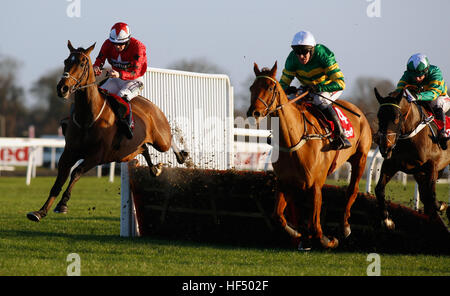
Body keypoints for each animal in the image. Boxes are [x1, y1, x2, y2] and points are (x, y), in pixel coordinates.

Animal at [25, 41, 187, 222]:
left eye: (82, 63)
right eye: (66, 61)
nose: (62, 88)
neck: (87, 118)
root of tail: (151, 105)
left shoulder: (97, 155)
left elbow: (76, 172)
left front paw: (63, 204)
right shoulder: (69, 152)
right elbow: (59, 179)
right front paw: (40, 211)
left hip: (160, 140)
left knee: (170, 139)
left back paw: (182, 155)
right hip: (127, 153)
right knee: (144, 148)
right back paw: (155, 169)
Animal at [248, 63, 370, 249]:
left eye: (269, 87)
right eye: (251, 88)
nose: (253, 112)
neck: (295, 140)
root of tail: (359, 112)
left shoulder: (315, 185)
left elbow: (316, 227)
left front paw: (328, 239)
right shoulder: (285, 182)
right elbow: (278, 216)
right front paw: (298, 233)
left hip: (360, 157)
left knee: (352, 190)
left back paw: (345, 227)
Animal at [372, 88, 450, 229]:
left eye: (396, 117)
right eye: (379, 116)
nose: (385, 146)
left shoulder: (432, 165)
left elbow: (431, 195)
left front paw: (442, 205)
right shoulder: (391, 164)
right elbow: (379, 189)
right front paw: (387, 220)